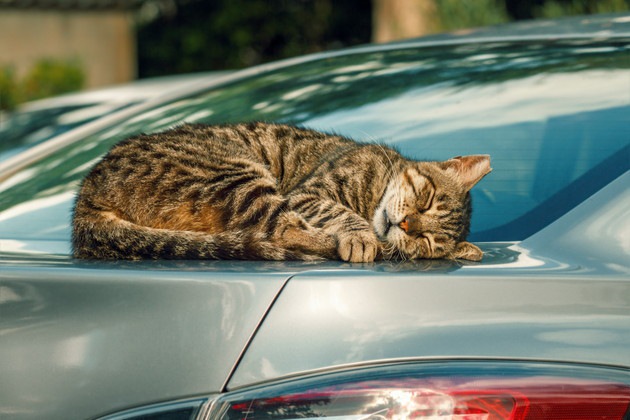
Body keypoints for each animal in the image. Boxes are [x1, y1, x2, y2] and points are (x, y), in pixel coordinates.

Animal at [71, 120, 492, 262]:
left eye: (427, 241)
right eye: (427, 200)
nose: (406, 227)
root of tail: (86, 194)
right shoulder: (311, 193)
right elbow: (342, 214)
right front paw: (362, 236)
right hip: (236, 175)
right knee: (284, 229)